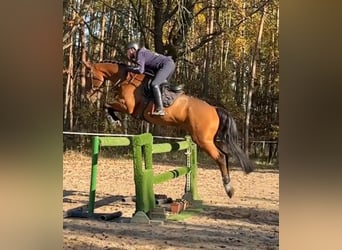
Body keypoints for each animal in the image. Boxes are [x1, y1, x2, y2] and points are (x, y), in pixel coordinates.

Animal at [82, 59, 254, 198]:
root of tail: (214, 109)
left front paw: (113, 120)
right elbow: (108, 106)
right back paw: (229, 185)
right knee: (225, 155)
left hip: (203, 140)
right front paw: (114, 120)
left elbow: (107, 105)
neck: (126, 78)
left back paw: (228, 188)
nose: (89, 97)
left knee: (220, 157)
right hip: (210, 139)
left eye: (89, 76)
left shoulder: (127, 106)